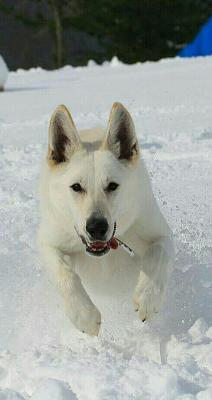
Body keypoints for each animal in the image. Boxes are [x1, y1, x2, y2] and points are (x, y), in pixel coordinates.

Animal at [38, 102, 174, 334]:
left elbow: (158, 256)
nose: (96, 227)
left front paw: (147, 297)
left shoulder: (159, 232)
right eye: (76, 187)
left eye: (112, 186)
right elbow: (64, 273)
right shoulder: (49, 241)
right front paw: (84, 315)